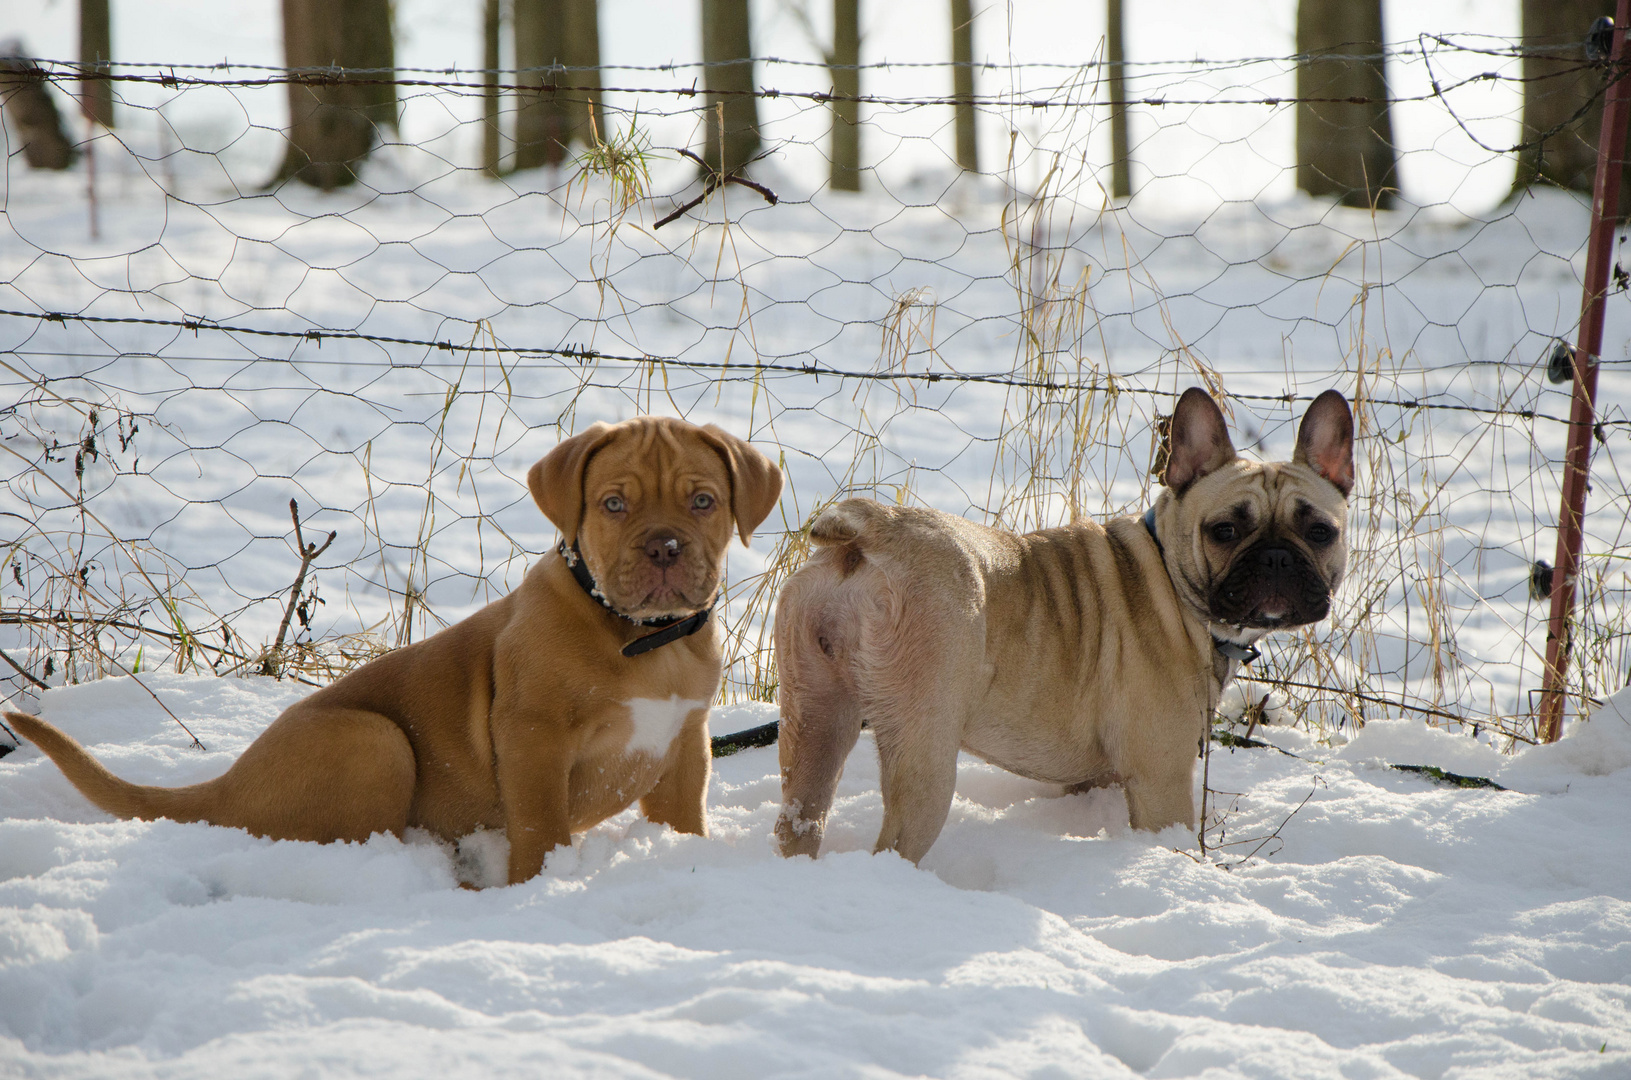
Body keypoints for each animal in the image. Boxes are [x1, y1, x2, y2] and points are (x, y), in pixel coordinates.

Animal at [4, 416, 782, 887]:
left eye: (704, 502)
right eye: (614, 505)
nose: (664, 548)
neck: (644, 636)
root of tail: (226, 786)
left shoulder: (684, 744)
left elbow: (683, 817)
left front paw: (686, 861)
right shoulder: (534, 738)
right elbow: (540, 826)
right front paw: (536, 889)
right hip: (374, 742)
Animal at [773, 389, 1350, 861]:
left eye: (1320, 532)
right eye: (1225, 530)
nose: (1276, 558)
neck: (1167, 569)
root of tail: (871, 533)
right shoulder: (1160, 779)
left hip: (816, 717)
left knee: (800, 818)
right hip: (924, 749)